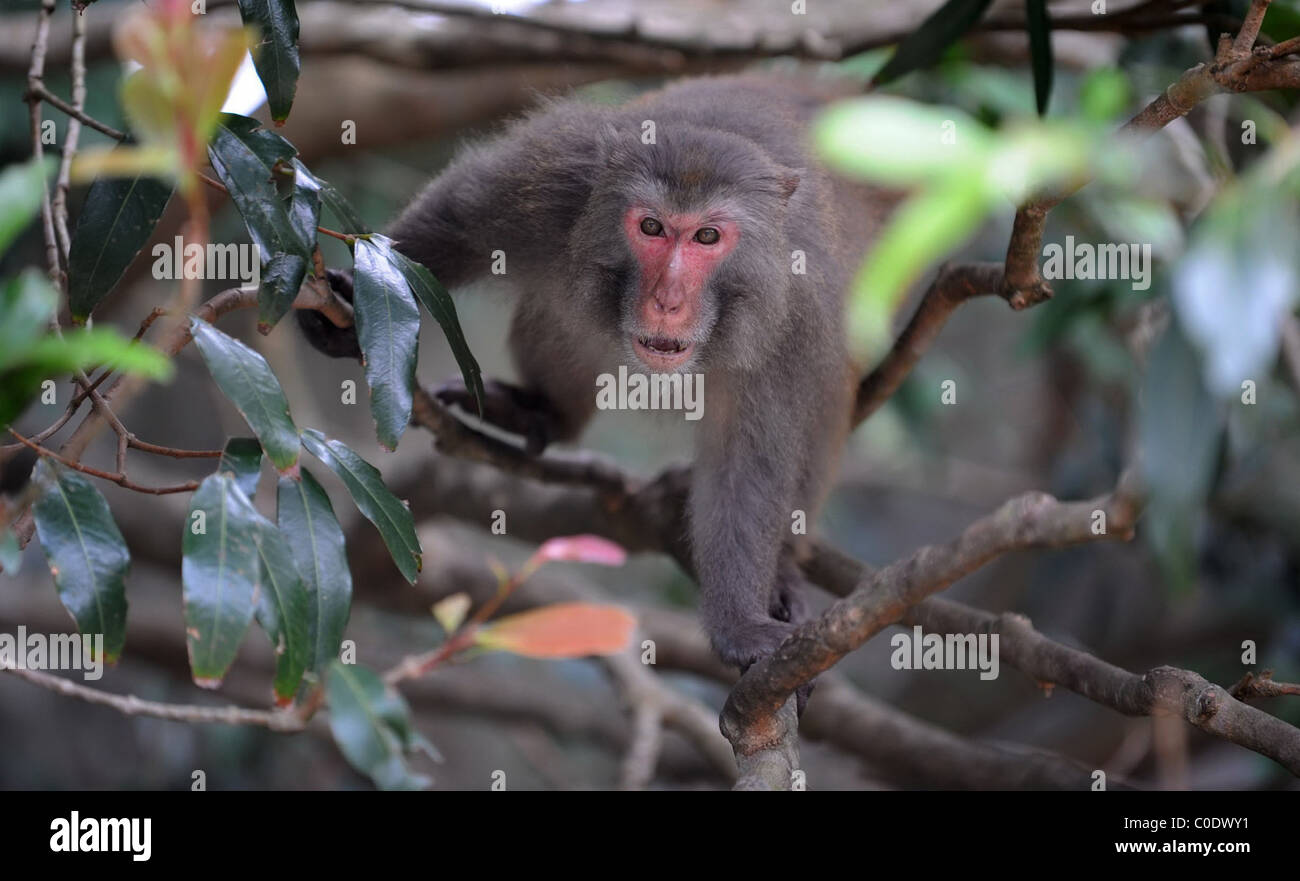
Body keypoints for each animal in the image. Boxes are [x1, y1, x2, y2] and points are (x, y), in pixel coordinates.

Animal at [299, 75, 891, 683]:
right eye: (651, 227)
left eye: (707, 237)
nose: (667, 301)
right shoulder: (554, 180)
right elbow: (456, 220)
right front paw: (356, 308)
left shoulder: (796, 316)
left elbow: (749, 462)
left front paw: (741, 624)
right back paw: (542, 411)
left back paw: (786, 568)